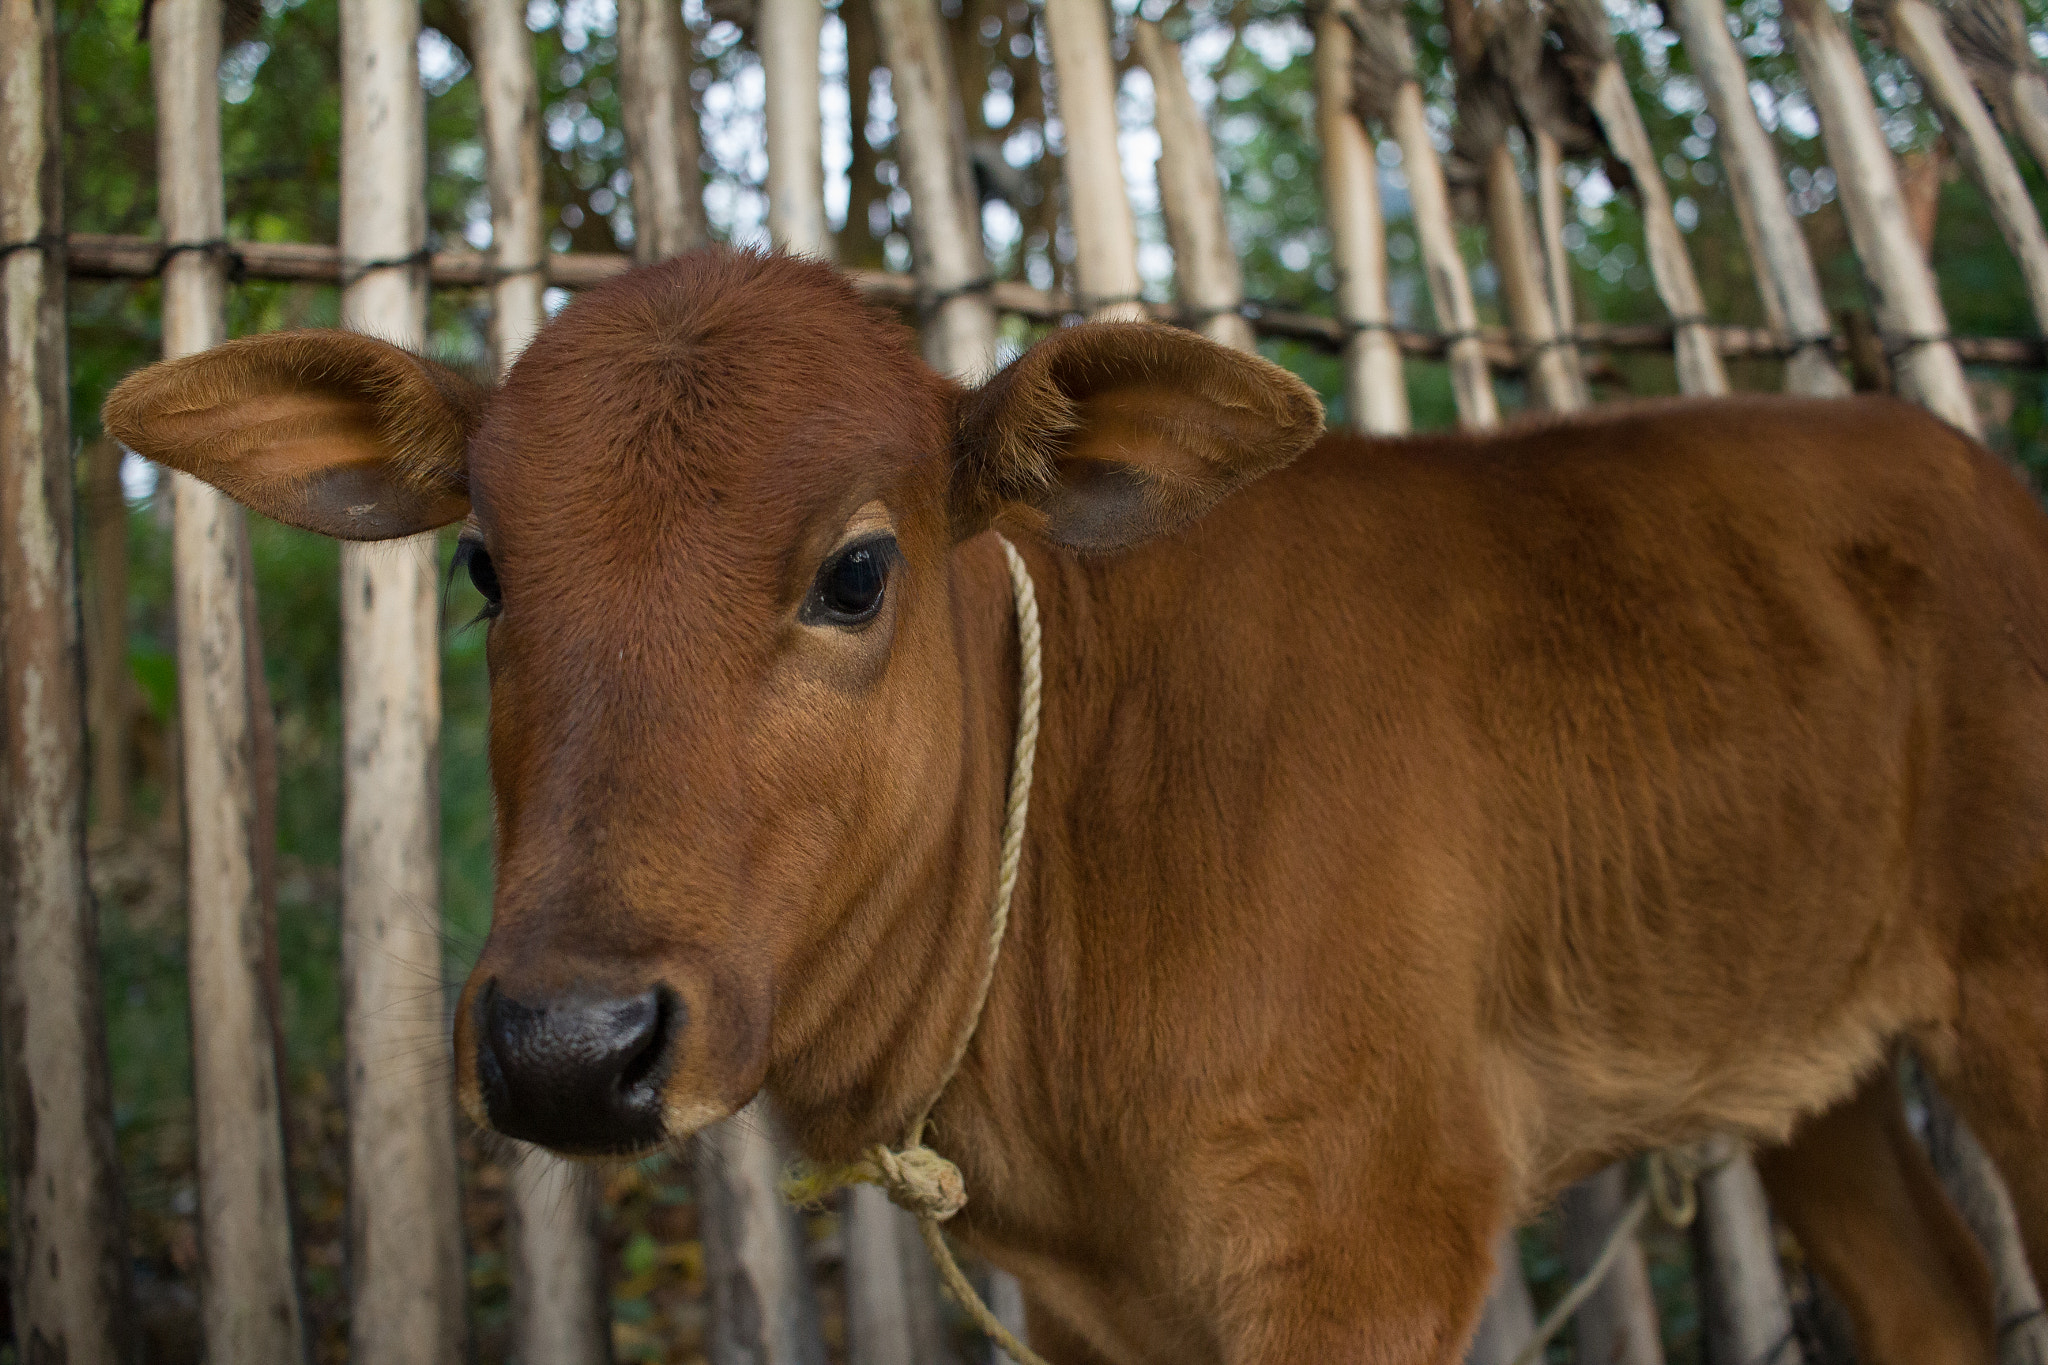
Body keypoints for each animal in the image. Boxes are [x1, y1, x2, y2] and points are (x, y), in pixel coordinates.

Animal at [106, 248, 2048, 1365]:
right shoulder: (1090, 1304)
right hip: (1814, 1069)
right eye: (486, 568)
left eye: (860, 568)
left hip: (2010, 1008)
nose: (567, 1046)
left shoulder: (1368, 1238)